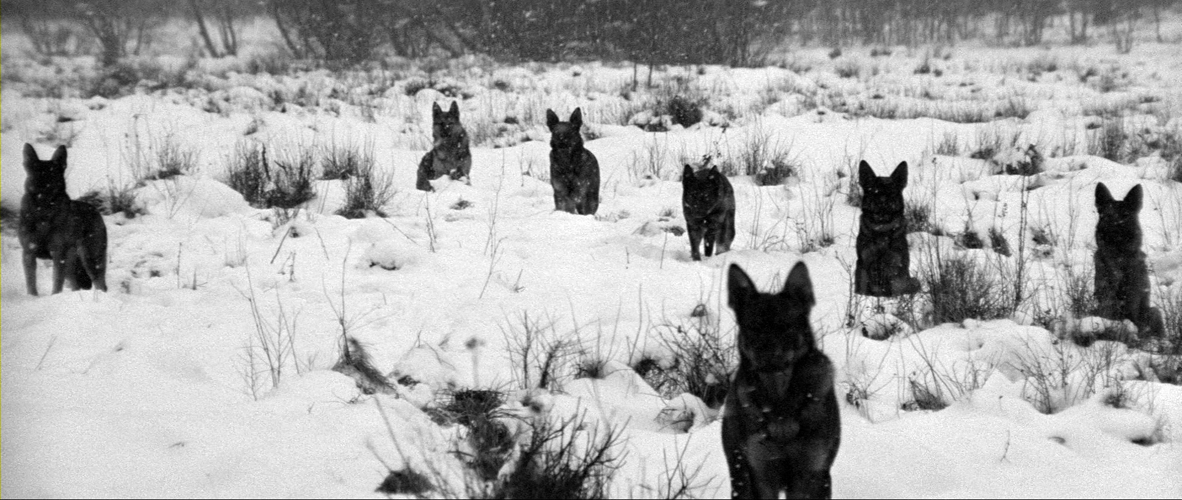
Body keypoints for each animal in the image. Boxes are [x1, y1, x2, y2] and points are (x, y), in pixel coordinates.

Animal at [19, 144, 108, 295]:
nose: (42, 188)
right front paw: (33, 298)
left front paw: (54, 296)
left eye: (52, 174)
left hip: (90, 260)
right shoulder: (28, 253)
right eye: (36, 174)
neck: (43, 213)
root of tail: (96, 210)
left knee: (100, 284)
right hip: (71, 265)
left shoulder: (58, 255)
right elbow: (31, 284)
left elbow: (56, 283)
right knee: (76, 285)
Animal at [722, 262, 841, 499]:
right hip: (739, 472)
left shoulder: (813, 472)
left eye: (785, 326)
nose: (766, 354)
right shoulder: (761, 473)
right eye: (753, 328)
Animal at [855, 160, 919, 297]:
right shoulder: (863, 263)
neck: (881, 228)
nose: (882, 204)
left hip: (914, 281)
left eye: (891, 193)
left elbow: (896, 290)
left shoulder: (896, 267)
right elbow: (861, 289)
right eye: (875, 192)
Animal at [1094, 183, 1165, 337]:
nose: (1111, 231)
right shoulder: (1105, 293)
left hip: (1153, 311)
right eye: (1107, 216)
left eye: (1125, 215)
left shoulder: (1133, 295)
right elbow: (1106, 312)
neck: (1118, 258)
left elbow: (1132, 316)